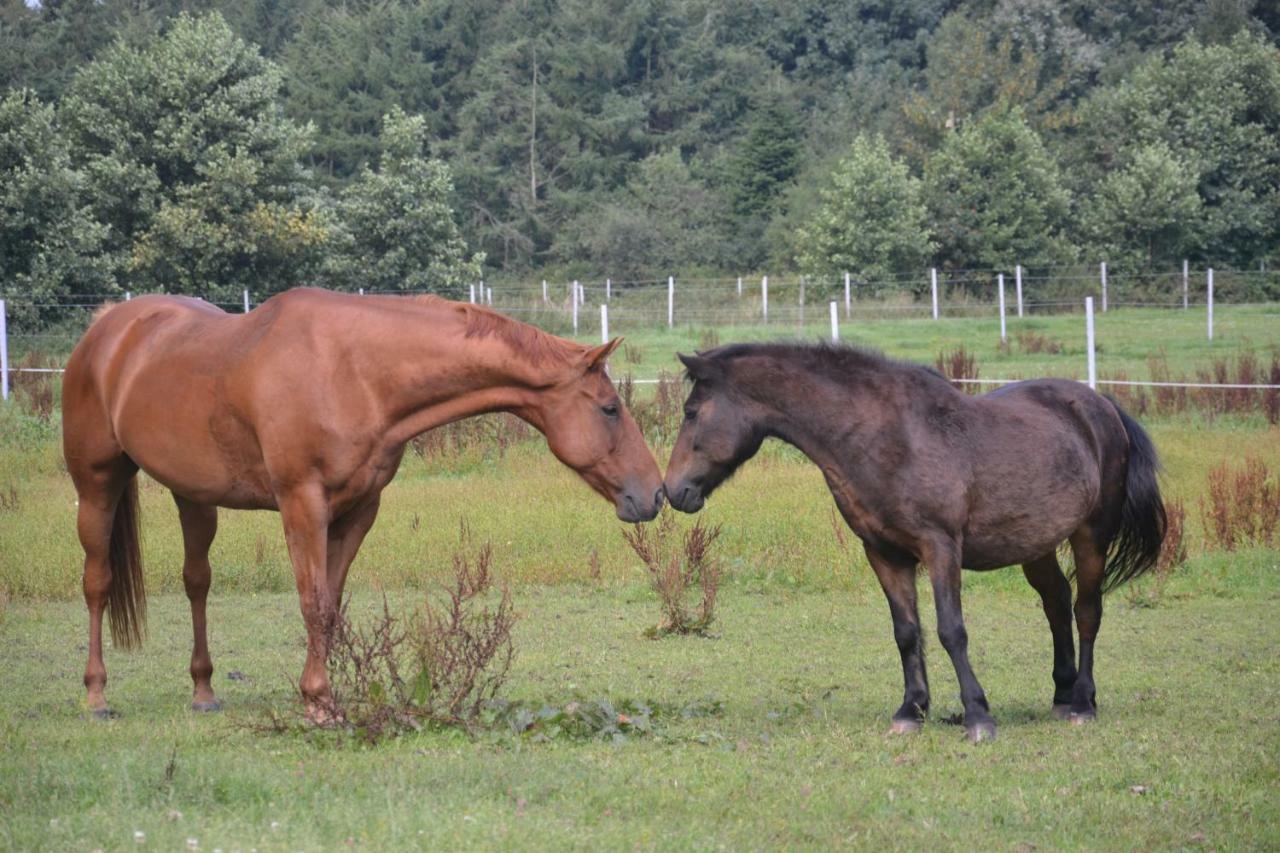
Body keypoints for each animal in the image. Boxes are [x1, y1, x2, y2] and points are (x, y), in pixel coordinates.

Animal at [64, 286, 665, 717]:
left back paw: (204, 692)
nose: (655, 493)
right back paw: (95, 695)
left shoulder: (357, 511)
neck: (354, 370)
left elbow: (331, 605)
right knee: (97, 583)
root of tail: (105, 330)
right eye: (610, 408)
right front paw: (318, 703)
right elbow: (312, 602)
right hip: (96, 486)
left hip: (194, 497)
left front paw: (323, 695)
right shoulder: (302, 504)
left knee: (196, 583)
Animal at [665, 338, 1167, 737]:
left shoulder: (940, 547)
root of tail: (1101, 405)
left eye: (691, 412)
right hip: (1035, 544)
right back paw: (1062, 693)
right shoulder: (884, 553)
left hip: (1091, 535)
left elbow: (951, 630)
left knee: (1087, 611)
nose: (672, 490)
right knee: (1057, 603)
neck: (888, 436)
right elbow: (906, 631)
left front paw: (977, 716)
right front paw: (912, 711)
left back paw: (1082, 702)